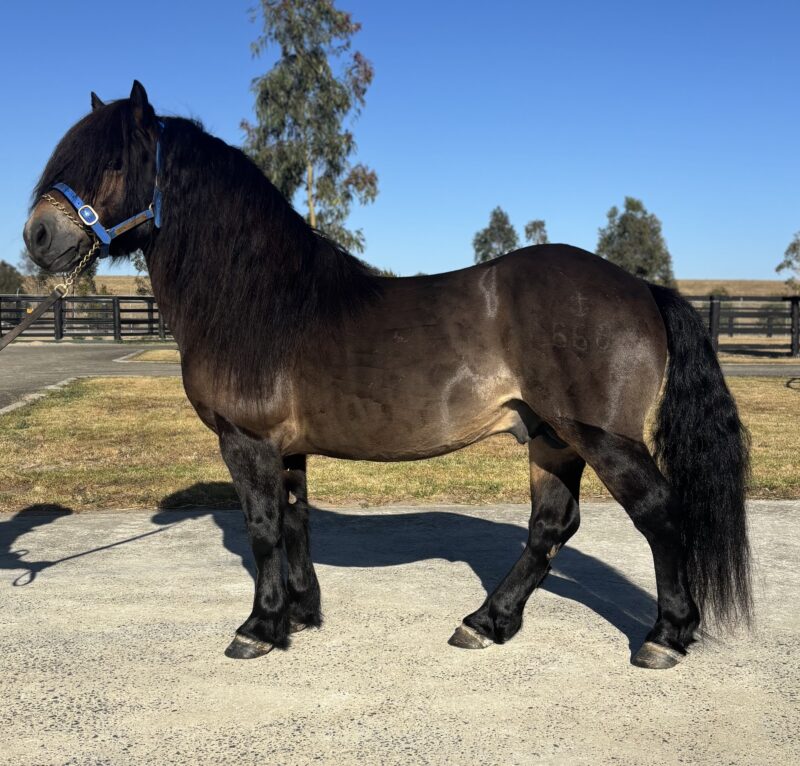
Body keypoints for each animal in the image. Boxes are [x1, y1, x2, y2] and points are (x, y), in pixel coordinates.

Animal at [23, 82, 751, 669]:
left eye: (115, 162)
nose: (37, 236)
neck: (259, 297)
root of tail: (641, 287)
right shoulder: (287, 449)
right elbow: (295, 523)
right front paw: (300, 616)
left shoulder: (246, 441)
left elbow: (262, 527)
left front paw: (258, 628)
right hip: (552, 438)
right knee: (550, 526)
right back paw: (486, 622)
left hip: (598, 437)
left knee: (657, 513)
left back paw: (664, 637)